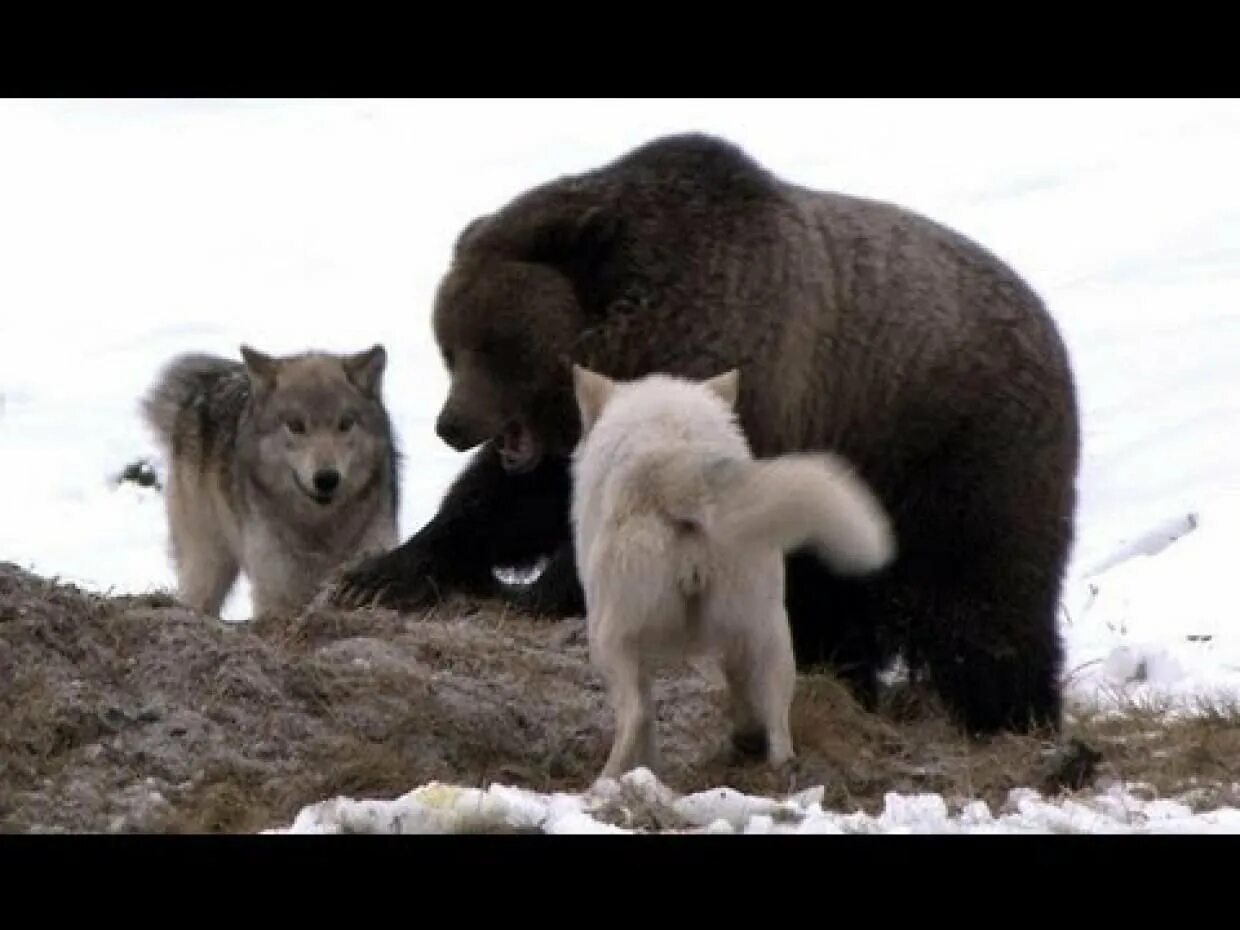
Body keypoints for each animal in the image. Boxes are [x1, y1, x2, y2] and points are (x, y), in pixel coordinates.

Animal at [334, 132, 1081, 744]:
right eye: (449, 345)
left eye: (494, 345)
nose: (451, 425)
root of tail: (1051, 330)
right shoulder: (573, 437)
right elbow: (505, 503)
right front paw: (381, 573)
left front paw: (538, 599)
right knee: (834, 600)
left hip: (960, 454)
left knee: (985, 603)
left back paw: (1012, 714)